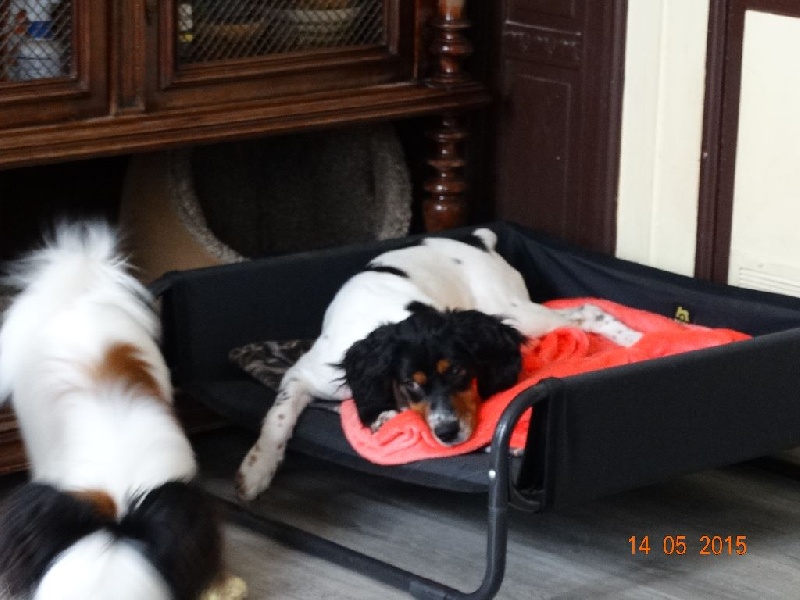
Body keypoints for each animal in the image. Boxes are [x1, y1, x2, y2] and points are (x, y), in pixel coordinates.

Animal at [235, 228, 641, 501]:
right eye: (411, 382)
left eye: (459, 372)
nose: (447, 432)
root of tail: (477, 240)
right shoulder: (304, 373)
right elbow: (278, 417)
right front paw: (256, 470)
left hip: (513, 312)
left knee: (587, 311)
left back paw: (638, 341)